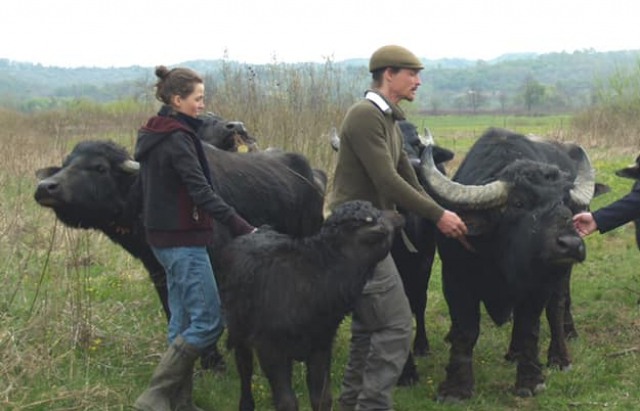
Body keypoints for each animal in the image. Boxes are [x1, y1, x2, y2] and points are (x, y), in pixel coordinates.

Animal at [33, 141, 324, 370]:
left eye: (99, 167)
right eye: (65, 164)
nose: (45, 187)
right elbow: (172, 311)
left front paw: (213, 360)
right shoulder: (159, 271)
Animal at [420, 127, 596, 400]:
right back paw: (513, 353)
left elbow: (529, 328)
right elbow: (465, 330)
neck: (503, 260)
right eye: (519, 203)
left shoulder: (539, 285)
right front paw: (456, 388)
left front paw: (530, 380)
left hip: (560, 274)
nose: (570, 244)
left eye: (565, 202)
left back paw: (559, 357)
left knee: (556, 308)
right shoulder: (455, 279)